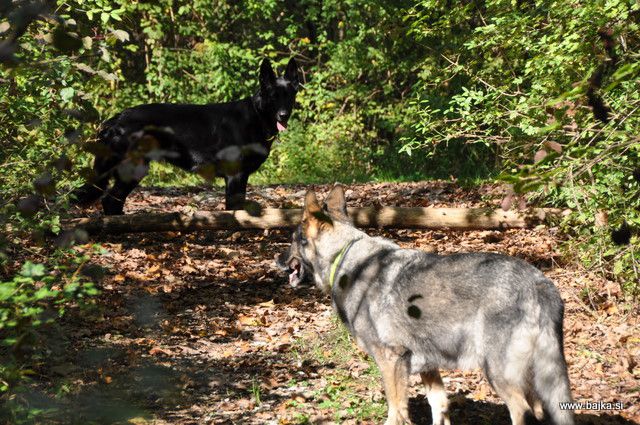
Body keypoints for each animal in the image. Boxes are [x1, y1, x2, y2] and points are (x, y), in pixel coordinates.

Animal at [74, 58, 300, 214]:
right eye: (273, 97)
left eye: (289, 96)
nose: (284, 115)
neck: (256, 115)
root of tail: (116, 119)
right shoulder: (235, 176)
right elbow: (234, 211)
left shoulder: (240, 177)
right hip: (133, 168)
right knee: (109, 200)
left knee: (111, 201)